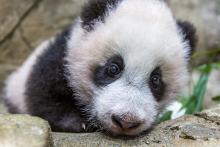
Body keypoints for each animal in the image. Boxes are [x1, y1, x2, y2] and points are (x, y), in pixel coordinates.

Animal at [3, 0, 196, 137]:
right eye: (114, 68)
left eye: (155, 79)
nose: (126, 121)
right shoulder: (61, 57)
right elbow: (42, 96)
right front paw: (79, 122)